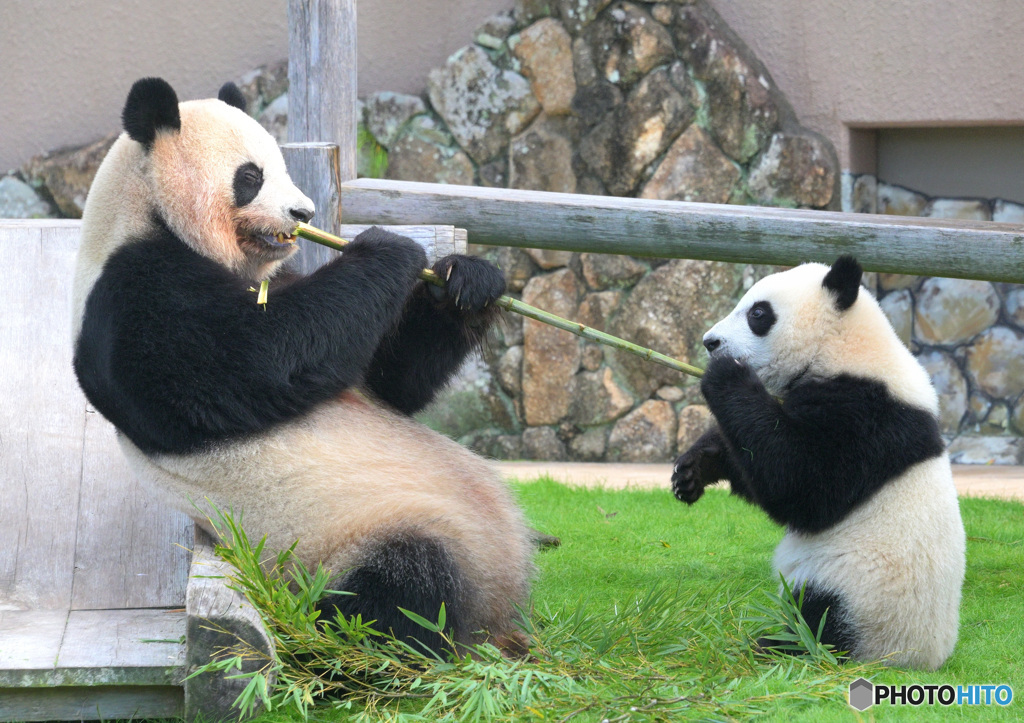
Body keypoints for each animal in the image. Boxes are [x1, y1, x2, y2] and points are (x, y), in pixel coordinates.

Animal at [70, 78, 536, 655]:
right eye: (251, 177)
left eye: (283, 166)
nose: (305, 214)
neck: (143, 214)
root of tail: (493, 617)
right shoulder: (131, 292)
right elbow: (251, 362)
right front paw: (386, 247)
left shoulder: (279, 280)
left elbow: (389, 379)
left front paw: (466, 282)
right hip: (342, 540)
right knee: (404, 587)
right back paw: (403, 648)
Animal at [671, 256, 966, 667]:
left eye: (758, 313)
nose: (710, 342)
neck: (842, 346)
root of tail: (920, 660)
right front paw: (693, 469)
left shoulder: (866, 417)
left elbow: (802, 485)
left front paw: (726, 372)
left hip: (861, 594)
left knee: (821, 618)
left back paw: (777, 644)